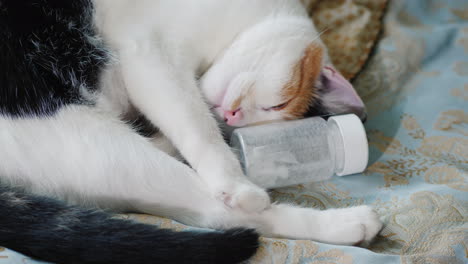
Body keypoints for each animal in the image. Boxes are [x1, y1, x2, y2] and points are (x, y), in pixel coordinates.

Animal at [0, 0, 382, 264]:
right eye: (278, 105)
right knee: (224, 210)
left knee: (212, 213)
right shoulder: (149, 54)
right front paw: (231, 173)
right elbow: (197, 124)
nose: (230, 115)